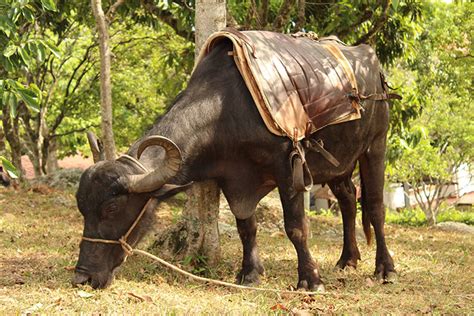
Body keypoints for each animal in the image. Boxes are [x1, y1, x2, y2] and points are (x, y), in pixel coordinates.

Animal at [71, 39, 396, 288]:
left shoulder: (287, 166)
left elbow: (296, 227)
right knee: (347, 200)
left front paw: (310, 279)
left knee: (375, 207)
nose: (82, 278)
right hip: (339, 162)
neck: (227, 108)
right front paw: (249, 273)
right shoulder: (234, 178)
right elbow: (246, 226)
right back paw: (347, 259)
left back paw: (385, 268)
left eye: (112, 208)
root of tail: (372, 65)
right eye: (82, 208)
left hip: (375, 145)